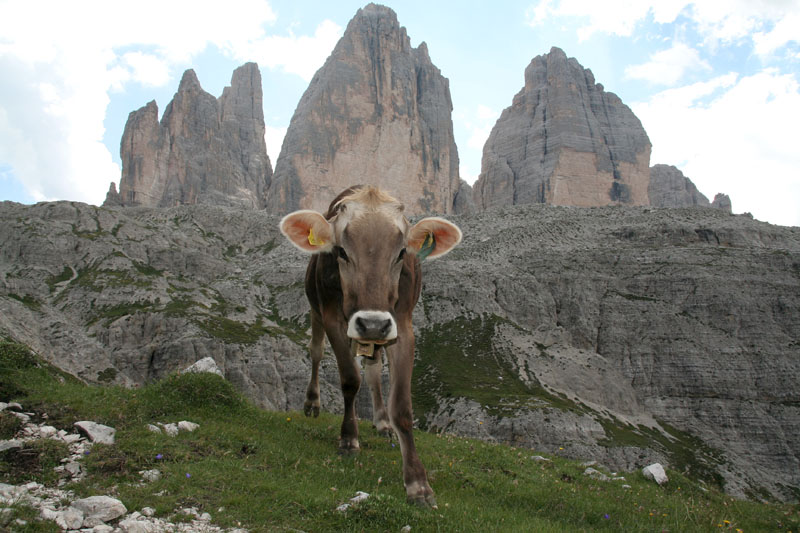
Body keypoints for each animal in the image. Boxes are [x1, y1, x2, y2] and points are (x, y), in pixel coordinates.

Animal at [278, 185, 462, 504]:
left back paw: (381, 422)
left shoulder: (402, 325)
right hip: (316, 309)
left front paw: (417, 482)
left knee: (374, 369)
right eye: (341, 251)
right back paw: (312, 403)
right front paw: (348, 439)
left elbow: (401, 405)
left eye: (401, 253)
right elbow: (350, 380)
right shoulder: (333, 319)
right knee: (316, 352)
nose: (373, 323)